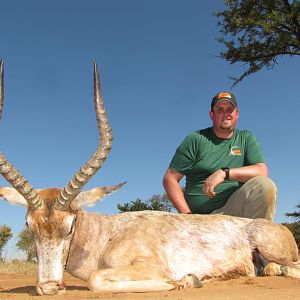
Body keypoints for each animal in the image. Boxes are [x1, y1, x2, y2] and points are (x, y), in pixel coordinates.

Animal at [0, 59, 300, 296]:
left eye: (71, 225)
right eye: (28, 225)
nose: (49, 286)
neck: (108, 234)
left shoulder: (145, 266)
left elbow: (96, 280)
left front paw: (186, 280)